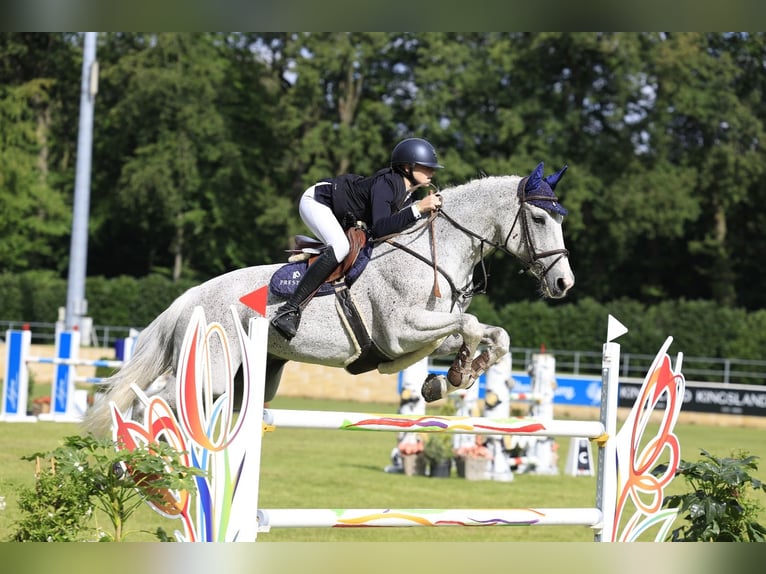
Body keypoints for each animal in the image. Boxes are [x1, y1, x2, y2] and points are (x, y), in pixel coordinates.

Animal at [84, 162, 576, 436]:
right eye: (538, 218)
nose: (563, 284)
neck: (436, 253)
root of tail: (189, 298)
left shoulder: (423, 336)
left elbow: (494, 335)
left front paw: (453, 376)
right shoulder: (401, 332)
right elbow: (470, 326)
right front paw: (454, 375)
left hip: (252, 377)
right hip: (214, 369)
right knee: (154, 399)